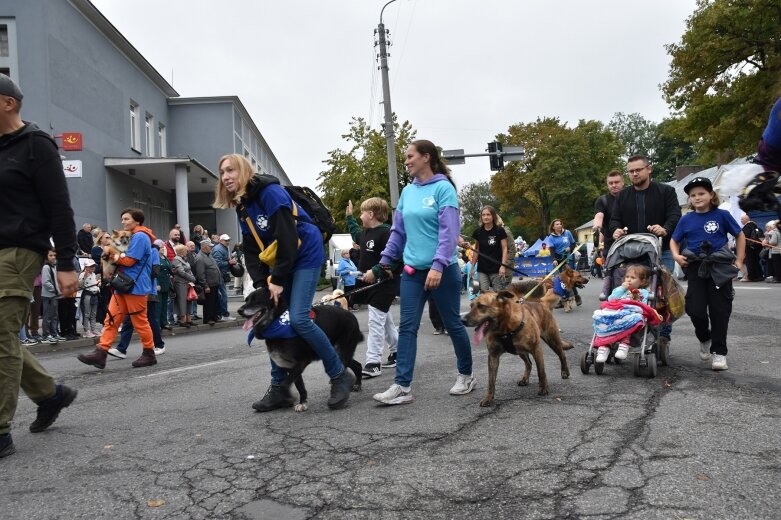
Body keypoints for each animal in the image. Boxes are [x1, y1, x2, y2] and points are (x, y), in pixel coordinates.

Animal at [236, 286, 364, 412]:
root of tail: (351, 315)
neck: (277, 323)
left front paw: (288, 397)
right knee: (357, 365)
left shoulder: (302, 361)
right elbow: (299, 386)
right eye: (246, 300)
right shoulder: (290, 366)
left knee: (345, 366)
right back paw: (356, 384)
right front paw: (302, 402)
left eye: (256, 300)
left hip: (342, 351)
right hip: (336, 353)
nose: (239, 311)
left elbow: (284, 384)